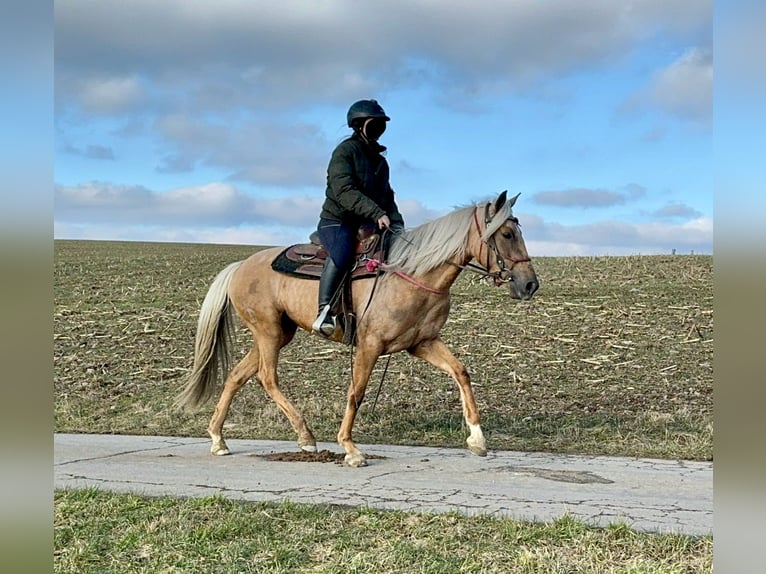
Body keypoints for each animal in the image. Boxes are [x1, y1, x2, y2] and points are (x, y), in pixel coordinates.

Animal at [178, 191, 540, 470]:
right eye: (507, 235)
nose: (530, 285)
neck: (413, 275)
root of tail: (240, 266)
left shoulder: (423, 343)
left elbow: (461, 372)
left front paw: (477, 438)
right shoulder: (369, 345)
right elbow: (357, 392)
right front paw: (350, 449)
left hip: (279, 333)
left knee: (237, 375)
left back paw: (218, 438)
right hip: (267, 331)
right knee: (267, 378)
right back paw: (306, 436)